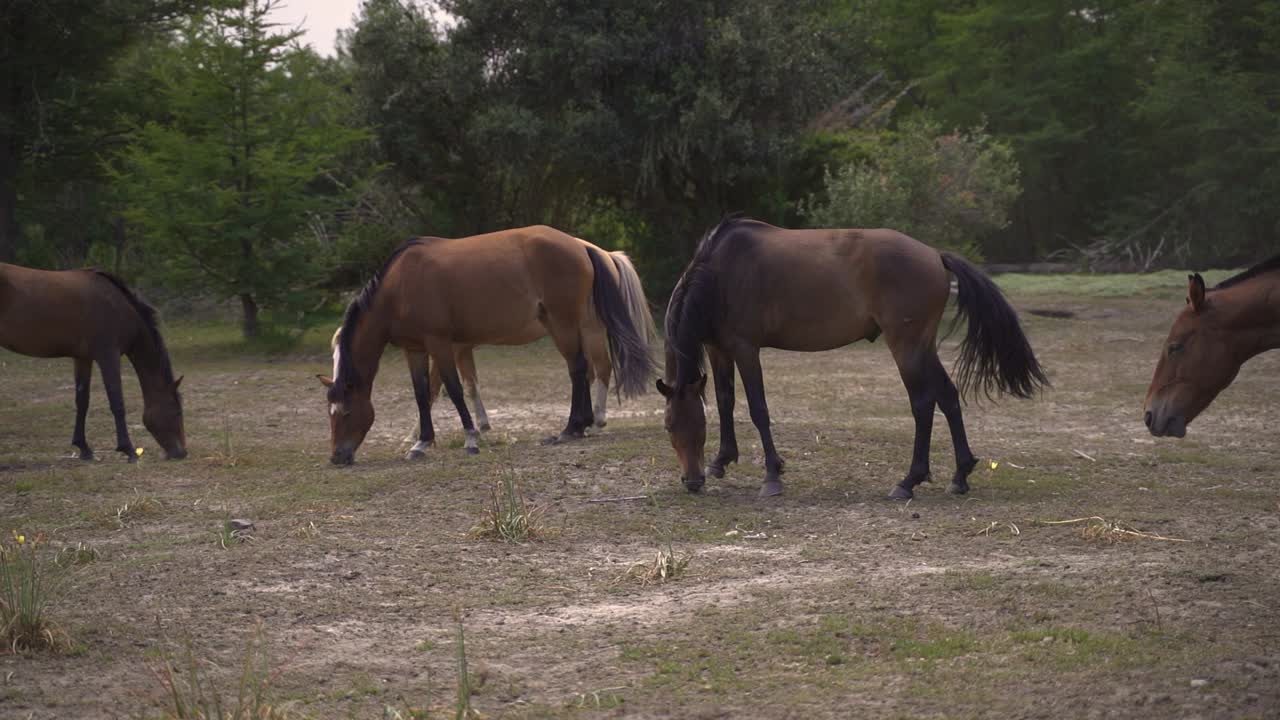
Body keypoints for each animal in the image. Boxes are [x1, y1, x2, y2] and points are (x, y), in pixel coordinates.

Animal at [0, 263, 187, 461]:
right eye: (177, 411)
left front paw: (84, 448)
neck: (119, 308)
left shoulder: (83, 358)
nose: (182, 452)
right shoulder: (108, 356)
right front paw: (128, 449)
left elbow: (82, 401)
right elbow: (117, 402)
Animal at [318, 226, 656, 465]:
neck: (399, 288)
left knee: (579, 368)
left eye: (345, 413)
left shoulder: (441, 344)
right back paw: (582, 426)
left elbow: (453, 389)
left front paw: (470, 438)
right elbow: (422, 394)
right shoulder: (414, 350)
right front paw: (421, 442)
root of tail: (581, 246)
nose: (337, 457)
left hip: (564, 324)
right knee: (585, 369)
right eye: (329, 414)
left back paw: (572, 428)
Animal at [659, 218, 1047, 499]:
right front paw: (721, 461)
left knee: (923, 403)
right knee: (948, 397)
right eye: (668, 426)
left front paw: (771, 476)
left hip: (905, 346)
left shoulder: (745, 348)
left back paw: (908, 481)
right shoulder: (718, 348)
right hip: (923, 347)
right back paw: (960, 474)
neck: (720, 273)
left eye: (695, 428)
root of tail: (935, 255)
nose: (692, 482)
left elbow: (758, 409)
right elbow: (725, 401)